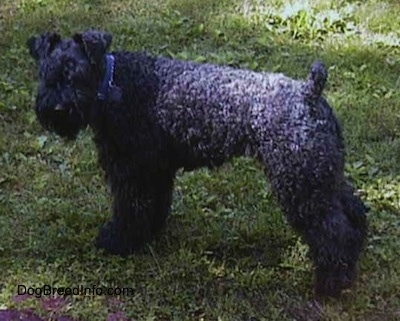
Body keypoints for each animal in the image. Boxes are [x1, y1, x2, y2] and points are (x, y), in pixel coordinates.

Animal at [26, 30, 368, 298]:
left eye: (77, 74)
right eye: (47, 72)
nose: (57, 108)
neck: (114, 83)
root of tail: (309, 92)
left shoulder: (132, 170)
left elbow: (129, 208)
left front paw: (119, 241)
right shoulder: (155, 171)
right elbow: (154, 205)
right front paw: (147, 235)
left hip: (300, 182)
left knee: (332, 230)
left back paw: (331, 283)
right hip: (322, 174)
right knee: (352, 211)